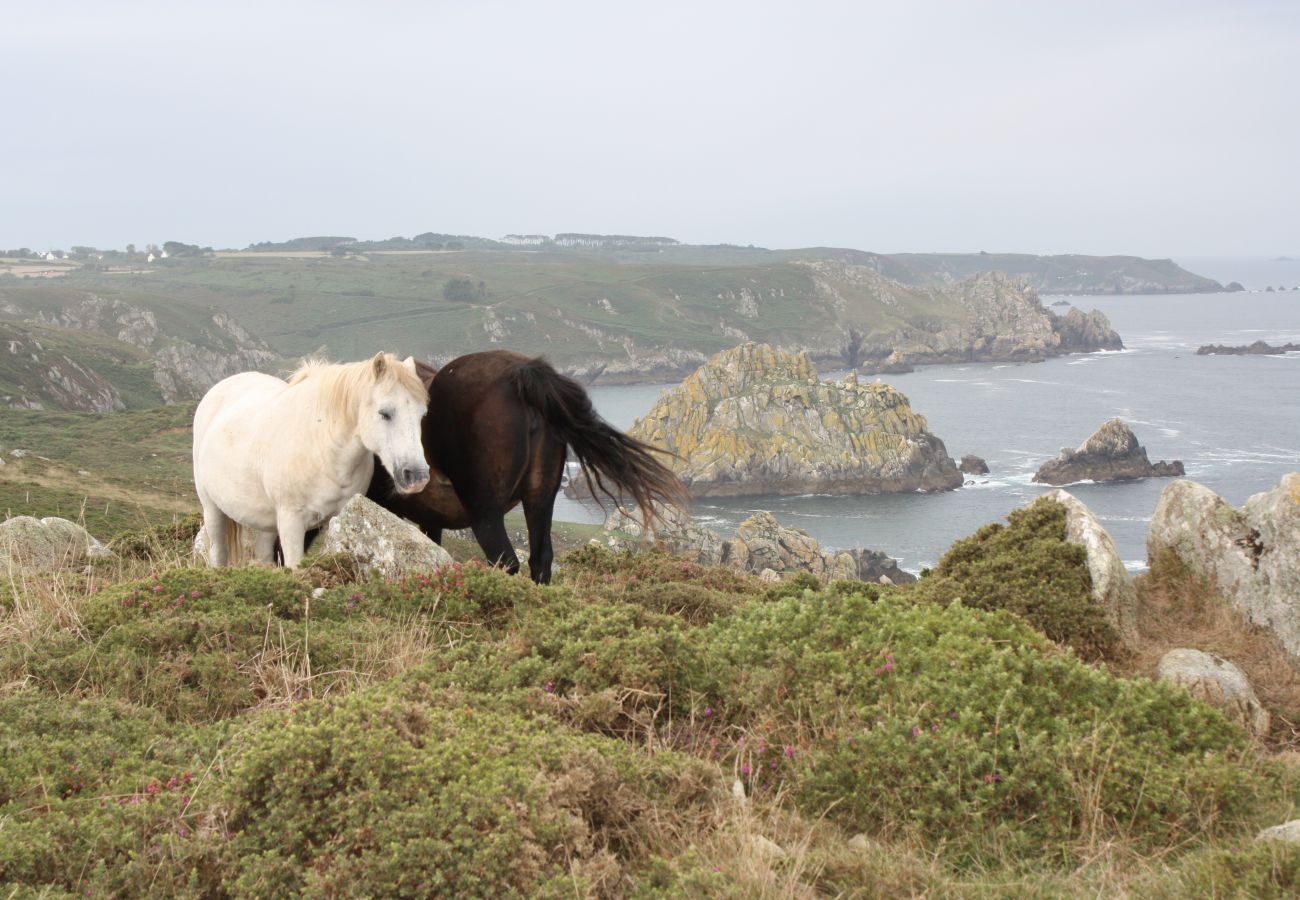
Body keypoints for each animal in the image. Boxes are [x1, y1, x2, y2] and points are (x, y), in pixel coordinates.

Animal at [193, 356, 431, 567]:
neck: (321, 447)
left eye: (422, 415)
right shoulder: (291, 523)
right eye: (385, 413)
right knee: (218, 553)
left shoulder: (341, 517)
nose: (417, 476)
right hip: (212, 509)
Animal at [366, 351, 686, 582]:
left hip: (485, 511)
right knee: (540, 559)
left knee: (506, 560)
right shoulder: (430, 520)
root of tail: (519, 376)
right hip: (540, 500)